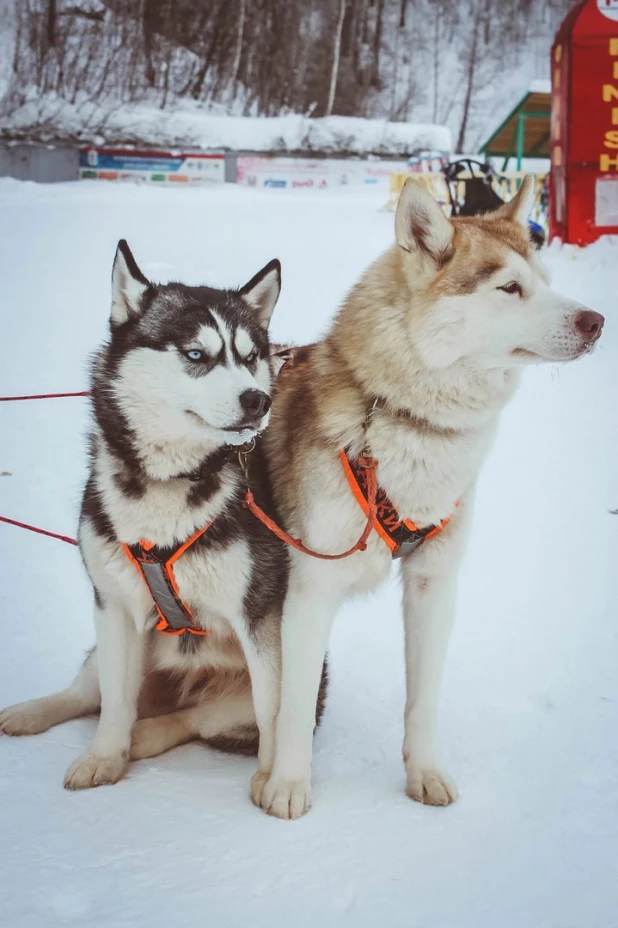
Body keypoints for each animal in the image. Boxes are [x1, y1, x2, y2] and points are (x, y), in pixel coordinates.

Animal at [0, 241, 324, 792]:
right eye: (196, 354)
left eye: (250, 357)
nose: (257, 400)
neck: (168, 484)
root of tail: (186, 684)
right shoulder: (113, 605)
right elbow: (113, 705)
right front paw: (102, 758)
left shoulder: (260, 618)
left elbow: (271, 711)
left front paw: (269, 780)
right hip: (109, 648)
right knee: (92, 695)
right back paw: (32, 714)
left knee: (194, 719)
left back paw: (147, 736)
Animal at [250, 179, 600, 820]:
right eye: (509, 288)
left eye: (545, 279)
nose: (597, 320)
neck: (407, 420)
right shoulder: (310, 587)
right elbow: (295, 706)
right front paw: (288, 783)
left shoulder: (434, 582)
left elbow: (424, 699)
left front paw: (425, 772)